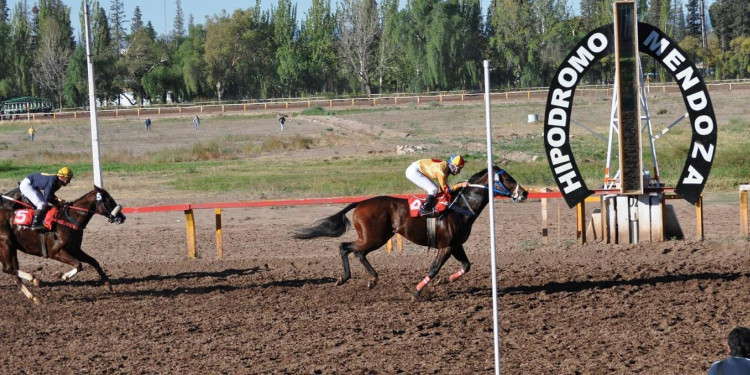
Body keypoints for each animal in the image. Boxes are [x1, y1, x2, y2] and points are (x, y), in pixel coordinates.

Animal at [294, 166, 528, 298]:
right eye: (507, 178)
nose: (524, 193)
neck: (461, 207)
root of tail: (360, 203)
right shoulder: (446, 246)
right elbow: (434, 268)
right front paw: (417, 291)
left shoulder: (455, 245)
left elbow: (466, 265)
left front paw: (447, 280)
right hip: (373, 237)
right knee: (345, 247)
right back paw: (346, 278)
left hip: (375, 237)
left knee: (357, 252)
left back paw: (371, 279)